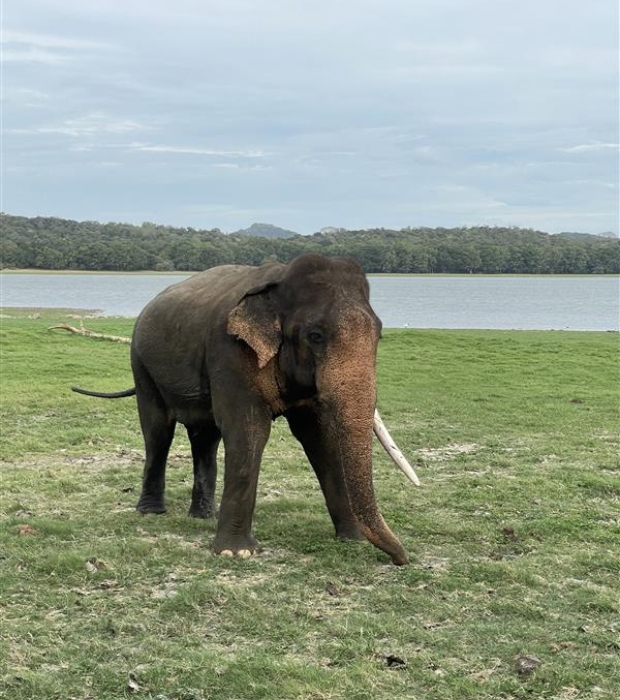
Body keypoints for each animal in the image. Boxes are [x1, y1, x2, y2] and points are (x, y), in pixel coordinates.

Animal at [72, 253, 418, 565]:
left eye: (379, 334)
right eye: (315, 335)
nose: (401, 559)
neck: (280, 279)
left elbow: (319, 436)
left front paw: (352, 539)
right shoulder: (230, 353)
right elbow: (248, 431)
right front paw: (234, 553)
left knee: (205, 437)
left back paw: (203, 515)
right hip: (141, 366)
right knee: (158, 431)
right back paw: (151, 512)